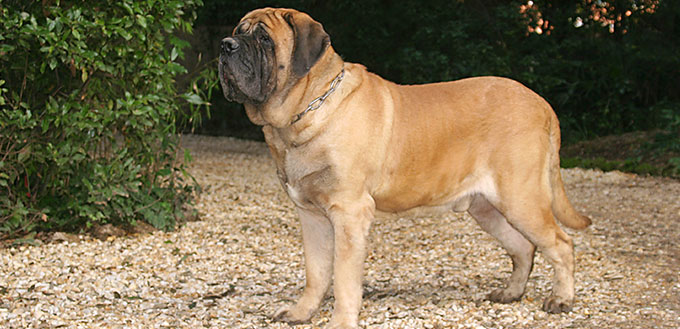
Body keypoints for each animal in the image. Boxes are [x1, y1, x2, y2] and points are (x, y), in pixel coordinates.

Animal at [216, 7, 588, 328]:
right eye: (238, 31)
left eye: (264, 39)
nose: (225, 45)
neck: (305, 110)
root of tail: (542, 104)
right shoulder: (311, 216)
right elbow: (316, 272)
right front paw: (302, 312)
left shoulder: (349, 213)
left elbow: (344, 278)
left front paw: (341, 321)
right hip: (488, 208)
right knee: (524, 247)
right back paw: (511, 293)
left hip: (521, 198)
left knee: (561, 244)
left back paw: (561, 299)